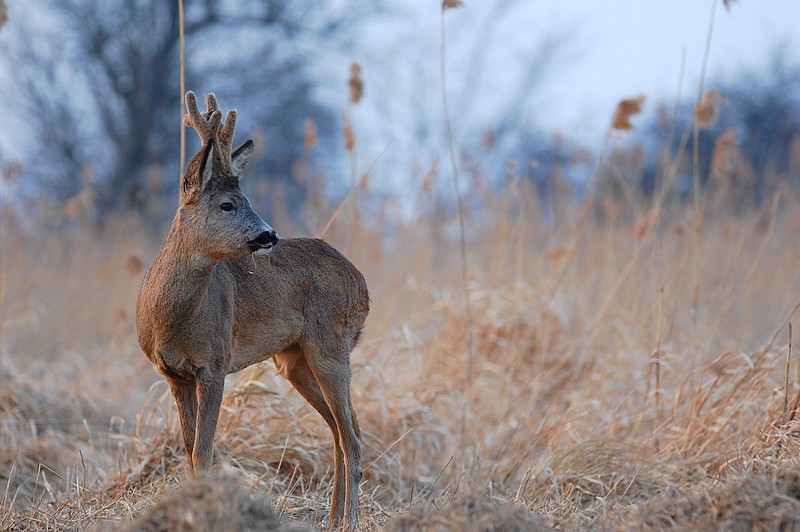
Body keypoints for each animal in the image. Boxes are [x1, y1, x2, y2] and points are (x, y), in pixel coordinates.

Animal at [137, 93, 368, 528]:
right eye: (227, 205)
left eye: (249, 201)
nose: (269, 234)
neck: (170, 321)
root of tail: (362, 283)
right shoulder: (173, 374)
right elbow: (189, 447)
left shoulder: (214, 363)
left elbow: (203, 449)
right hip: (295, 361)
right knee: (338, 431)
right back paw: (331, 519)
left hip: (331, 345)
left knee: (352, 436)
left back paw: (349, 521)